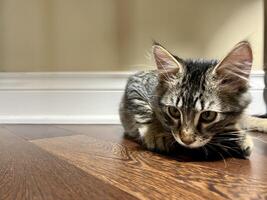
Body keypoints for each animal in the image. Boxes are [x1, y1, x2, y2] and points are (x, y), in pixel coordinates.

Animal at [120, 41, 267, 159]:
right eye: (173, 111)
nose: (186, 140)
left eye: (208, 115)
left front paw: (240, 137)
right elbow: (145, 111)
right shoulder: (135, 85)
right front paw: (156, 133)